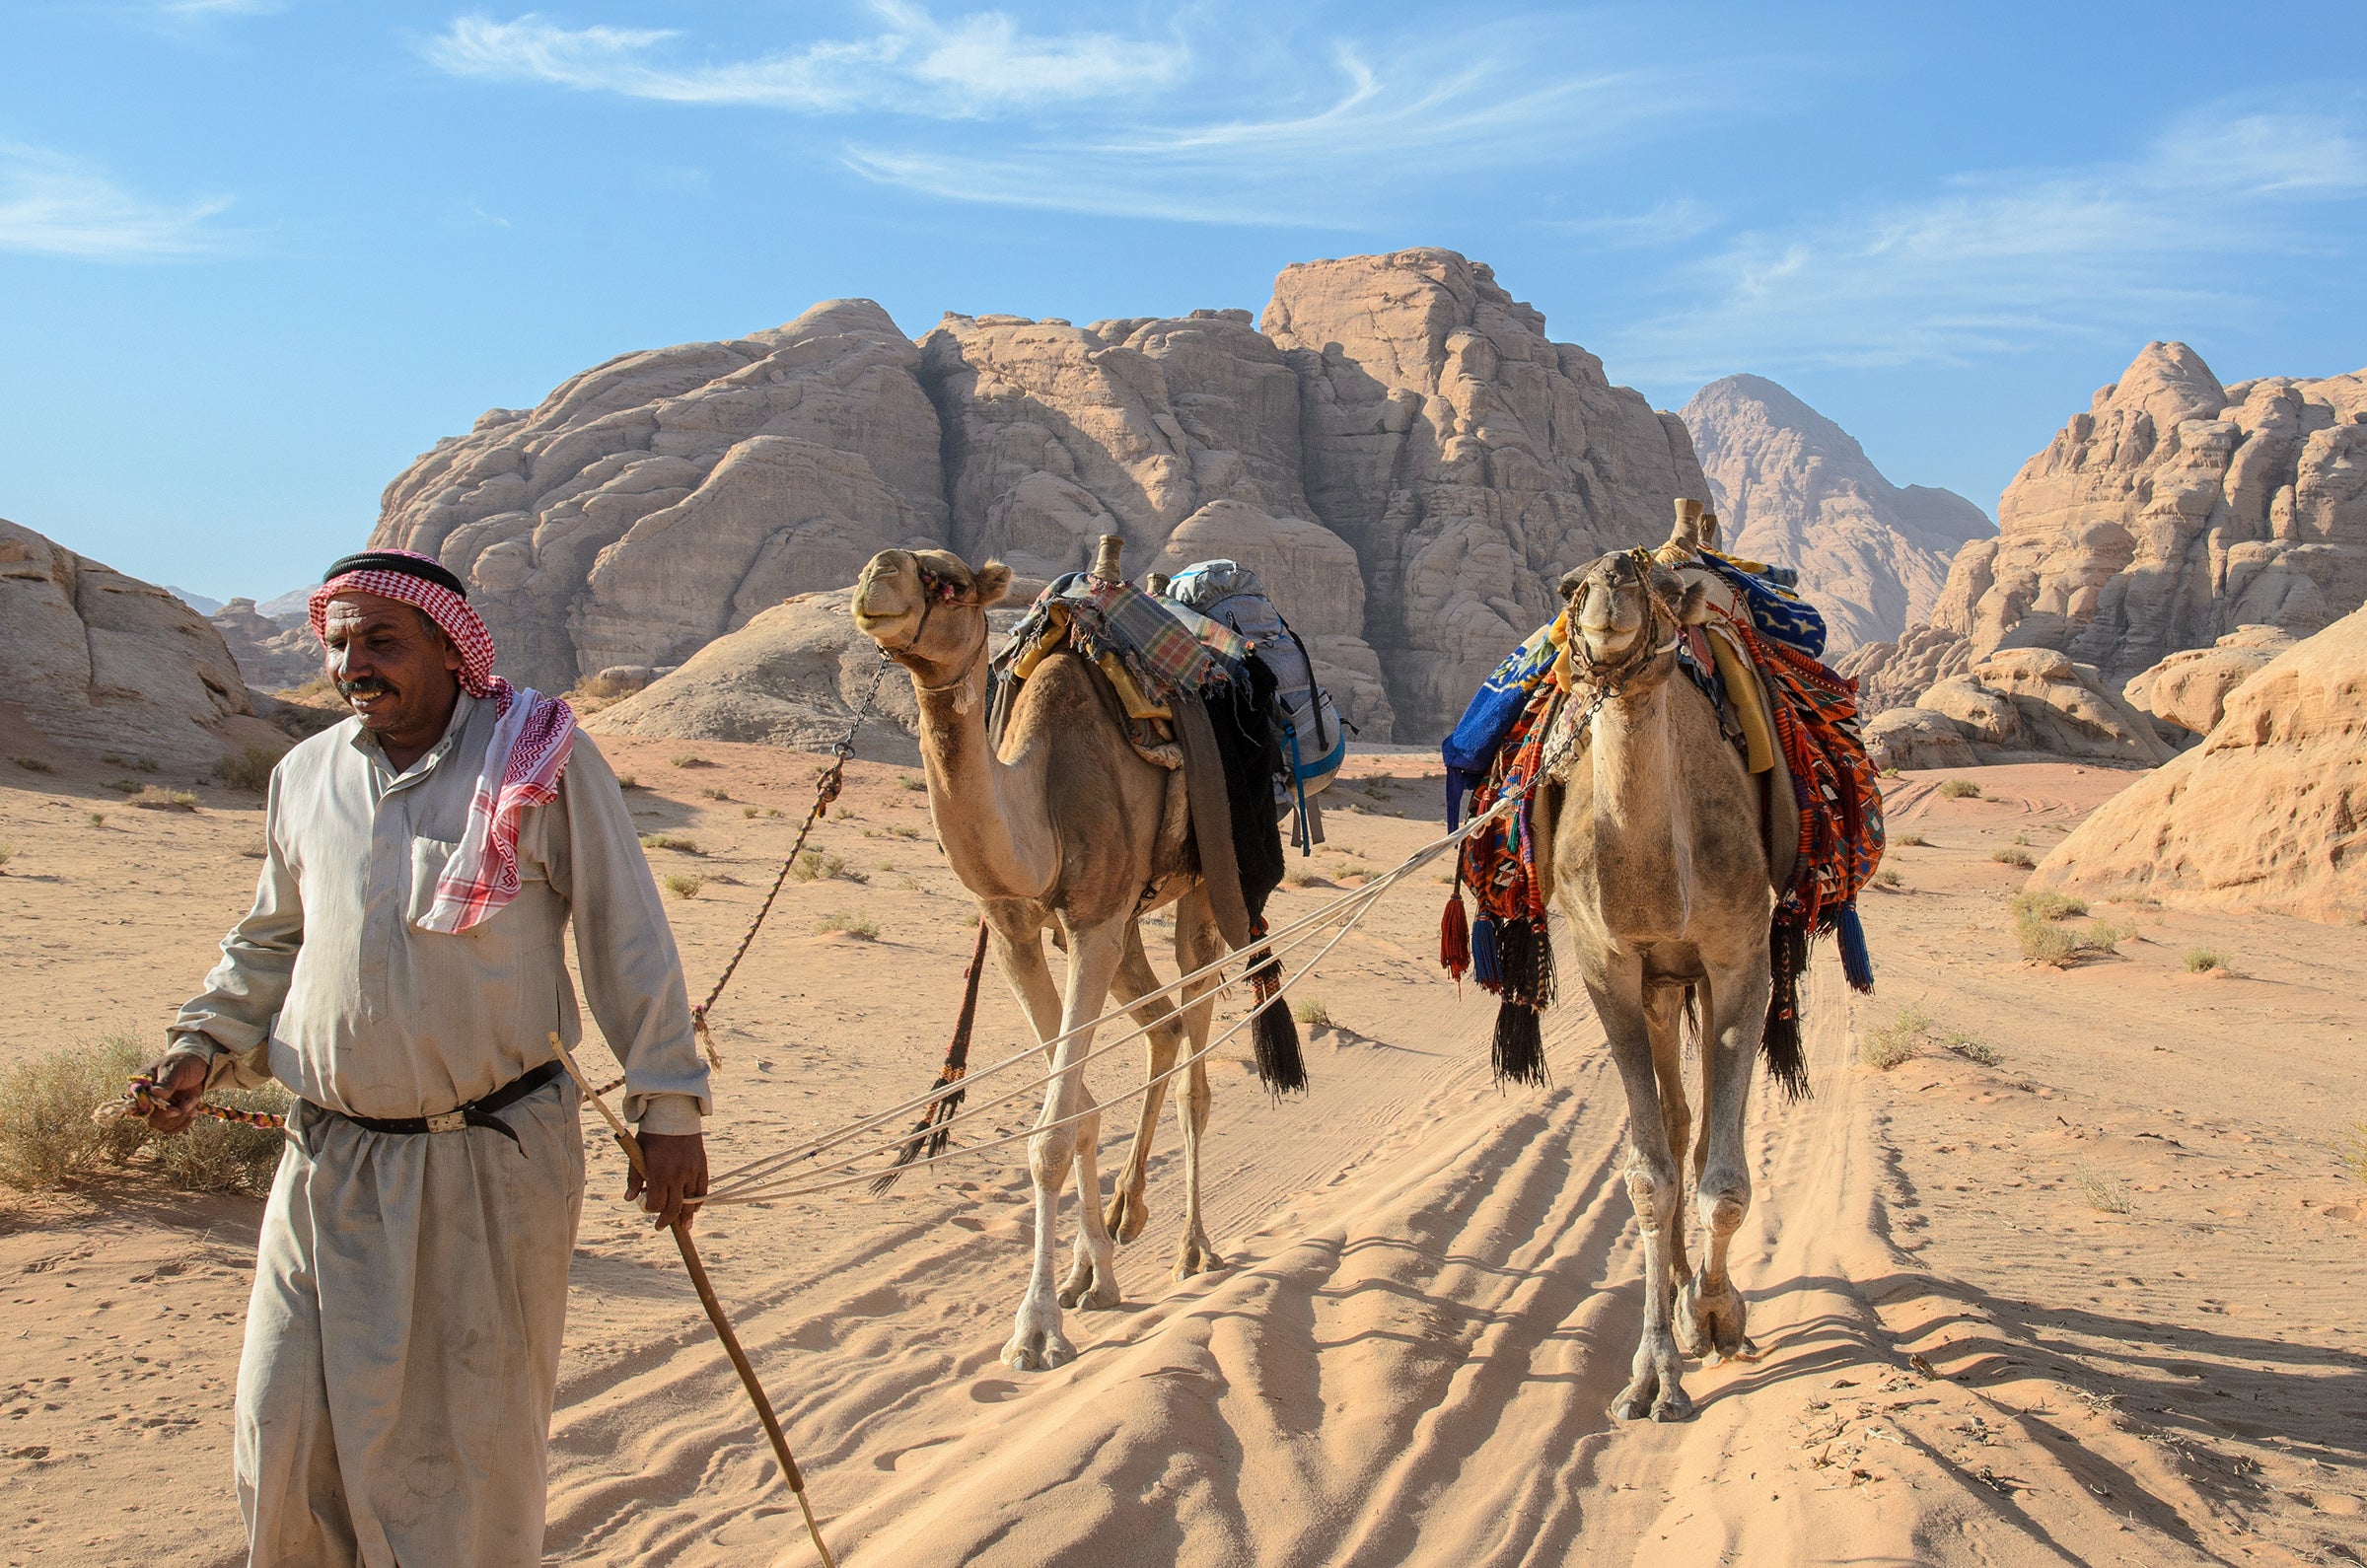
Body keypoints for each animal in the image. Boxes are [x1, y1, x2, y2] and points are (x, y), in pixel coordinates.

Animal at [852, 546, 1231, 1374]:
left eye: (949, 582)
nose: (874, 580)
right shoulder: (1020, 933)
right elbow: (1079, 1108)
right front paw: (1093, 1276)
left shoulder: (1090, 923)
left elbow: (1052, 1135)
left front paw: (1036, 1330)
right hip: (1126, 922)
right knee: (1161, 1027)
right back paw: (1125, 1216)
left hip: (1199, 891)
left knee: (1195, 1047)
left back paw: (1193, 1247)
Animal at [1534, 537, 1789, 1421]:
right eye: (1567, 586)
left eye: (1669, 588)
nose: (1613, 577)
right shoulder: (1607, 966)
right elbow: (1648, 1177)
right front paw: (1652, 1375)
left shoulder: (1741, 953)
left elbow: (1727, 1177)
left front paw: (1717, 1317)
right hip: (1658, 987)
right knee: (1678, 1126)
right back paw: (1676, 1287)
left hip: (1695, 978)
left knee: (1703, 1127)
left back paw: (1700, 1297)